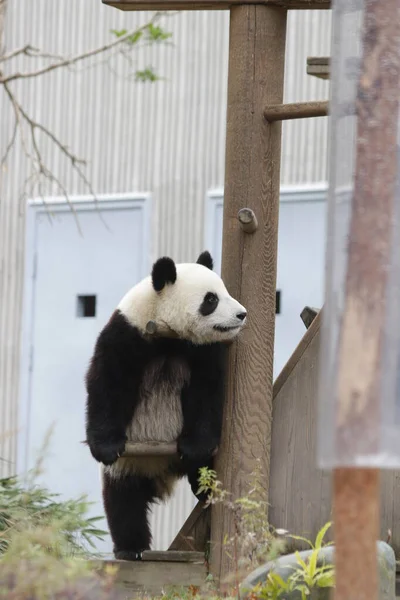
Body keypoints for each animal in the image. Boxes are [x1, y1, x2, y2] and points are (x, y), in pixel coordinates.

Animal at [86, 251, 245, 560]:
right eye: (211, 299)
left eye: (225, 291)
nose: (241, 314)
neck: (168, 334)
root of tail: (162, 471)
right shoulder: (127, 334)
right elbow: (107, 384)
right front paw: (105, 446)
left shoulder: (203, 350)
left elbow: (206, 394)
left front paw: (195, 446)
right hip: (130, 462)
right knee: (124, 501)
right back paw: (131, 548)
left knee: (202, 476)